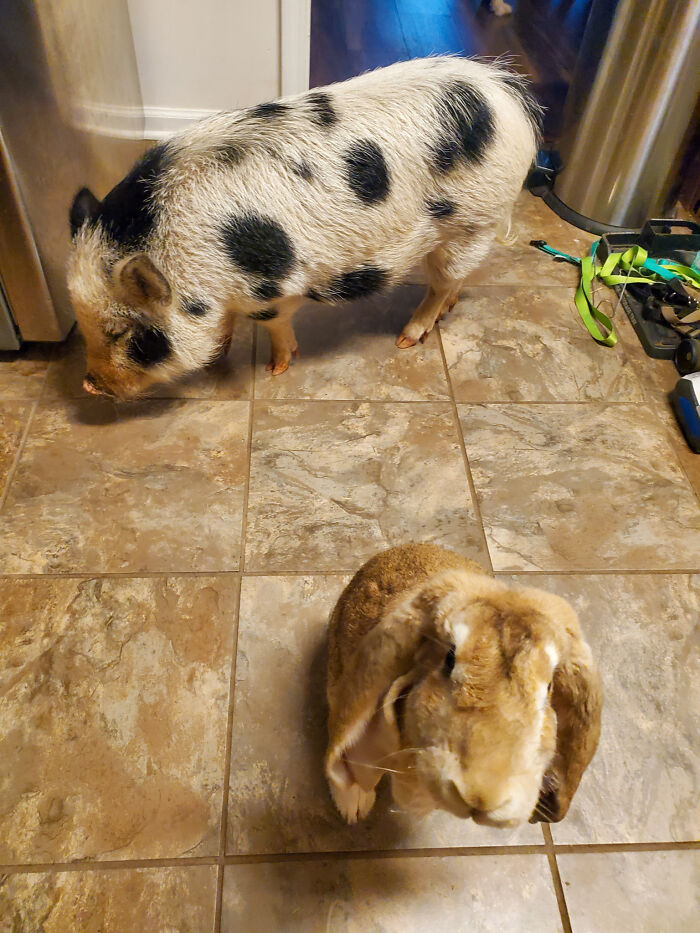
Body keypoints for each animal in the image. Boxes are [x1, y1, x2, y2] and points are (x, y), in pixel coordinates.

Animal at [67, 56, 541, 399]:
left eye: (120, 332)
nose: (88, 385)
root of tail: (507, 95)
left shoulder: (269, 289)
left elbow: (275, 324)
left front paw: (276, 368)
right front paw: (222, 353)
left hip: (473, 220)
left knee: (442, 283)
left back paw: (407, 340)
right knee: (455, 280)